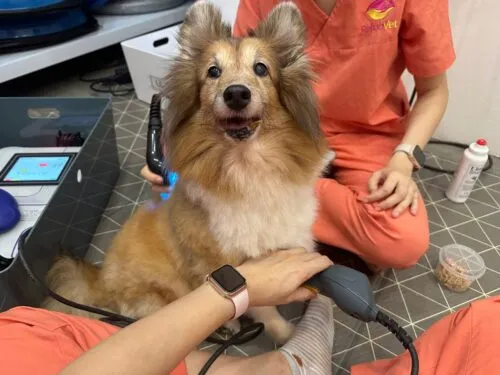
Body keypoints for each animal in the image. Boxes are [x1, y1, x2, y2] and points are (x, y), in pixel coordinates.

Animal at [44, 0, 332, 346]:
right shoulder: (234, 263)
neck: (247, 165)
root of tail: (100, 282)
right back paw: (227, 326)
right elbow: (266, 309)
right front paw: (288, 334)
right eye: (213, 71)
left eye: (261, 68)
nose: (236, 93)